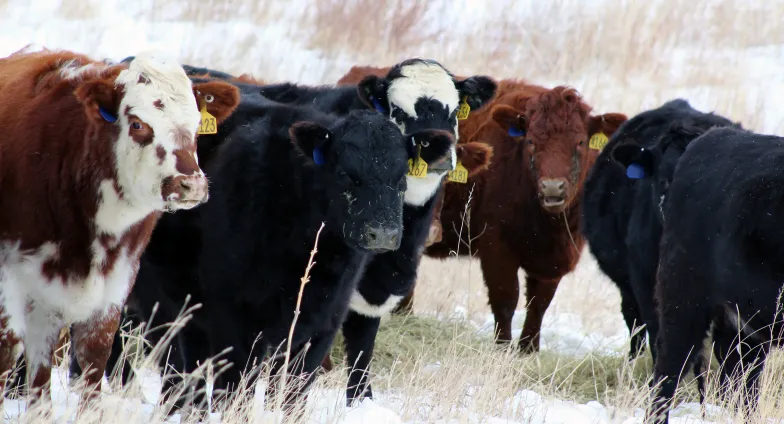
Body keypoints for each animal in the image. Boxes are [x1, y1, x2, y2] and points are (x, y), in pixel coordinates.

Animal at [426, 79, 628, 352]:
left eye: (580, 142)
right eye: (530, 141)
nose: (552, 187)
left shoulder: (555, 261)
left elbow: (538, 304)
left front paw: (528, 349)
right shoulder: (496, 250)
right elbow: (505, 300)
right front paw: (502, 348)